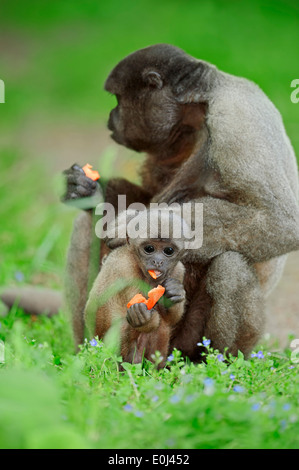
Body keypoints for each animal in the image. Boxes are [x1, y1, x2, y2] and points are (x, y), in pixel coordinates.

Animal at [83, 209, 190, 368]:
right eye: (149, 249)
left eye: (169, 250)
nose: (158, 261)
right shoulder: (124, 267)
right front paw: (142, 317)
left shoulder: (178, 271)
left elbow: (171, 318)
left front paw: (174, 292)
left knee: (162, 326)